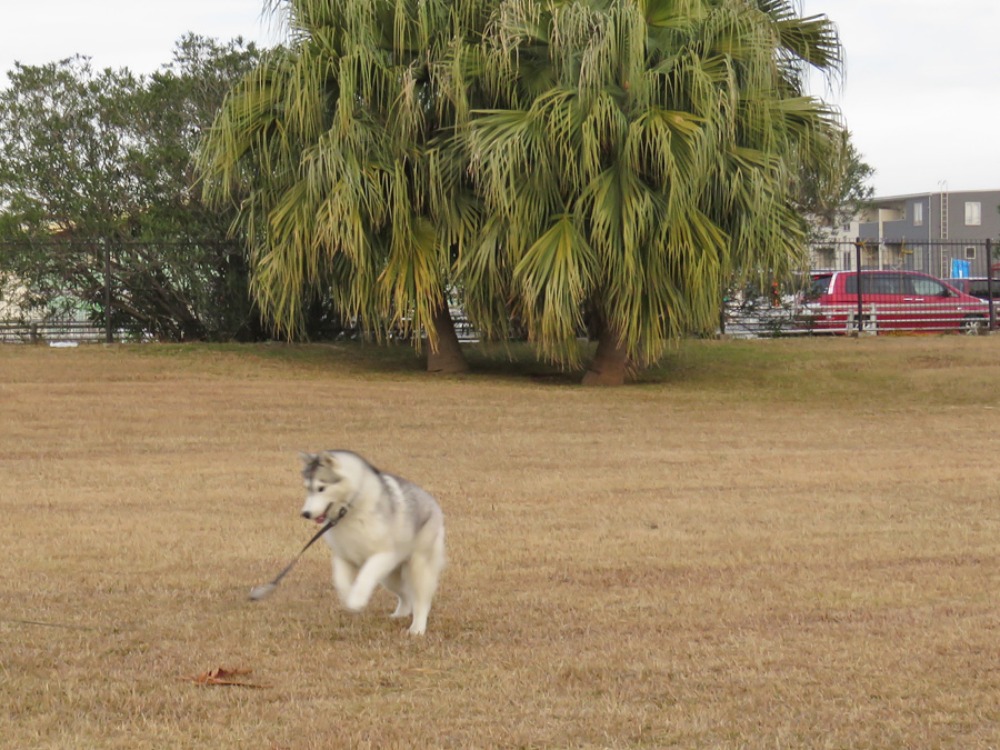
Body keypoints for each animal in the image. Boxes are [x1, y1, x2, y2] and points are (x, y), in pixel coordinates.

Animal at [296, 452, 446, 636]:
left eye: (321, 488)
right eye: (307, 488)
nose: (305, 513)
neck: (349, 509)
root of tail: (432, 502)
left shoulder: (383, 555)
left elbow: (365, 575)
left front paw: (357, 599)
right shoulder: (343, 556)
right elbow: (340, 581)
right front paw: (350, 598)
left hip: (418, 567)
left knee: (421, 600)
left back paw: (417, 628)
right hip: (389, 577)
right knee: (405, 594)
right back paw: (400, 614)